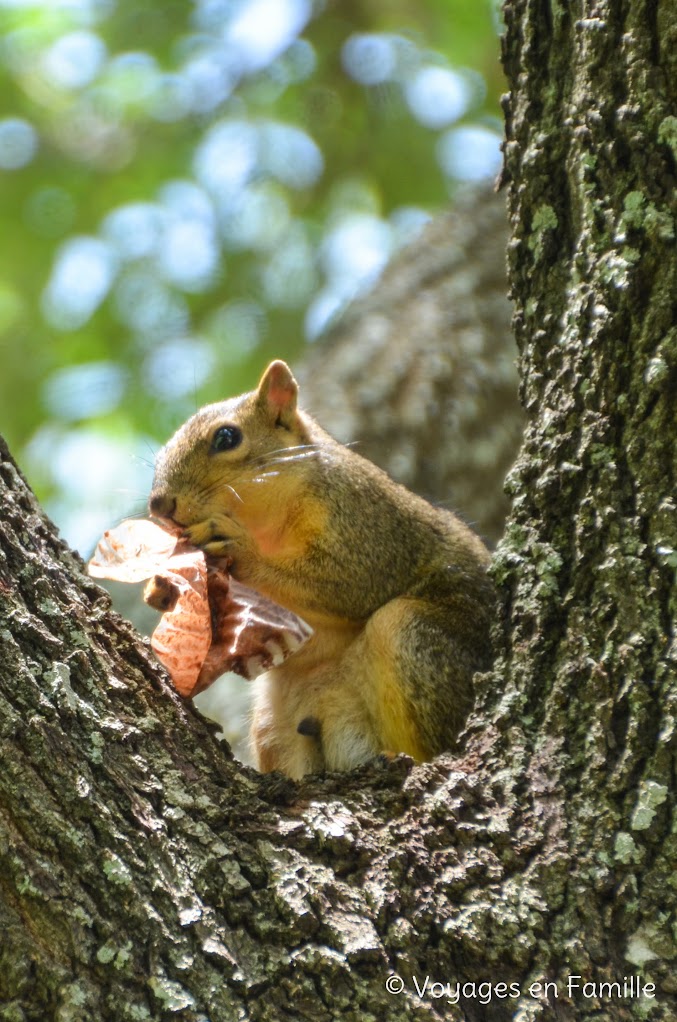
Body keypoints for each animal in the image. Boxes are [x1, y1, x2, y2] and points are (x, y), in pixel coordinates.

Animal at [151, 357, 497, 772]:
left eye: (227, 438)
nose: (158, 505)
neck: (268, 524)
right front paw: (161, 589)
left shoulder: (368, 527)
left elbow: (347, 583)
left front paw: (238, 548)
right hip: (274, 725)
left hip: (413, 637)